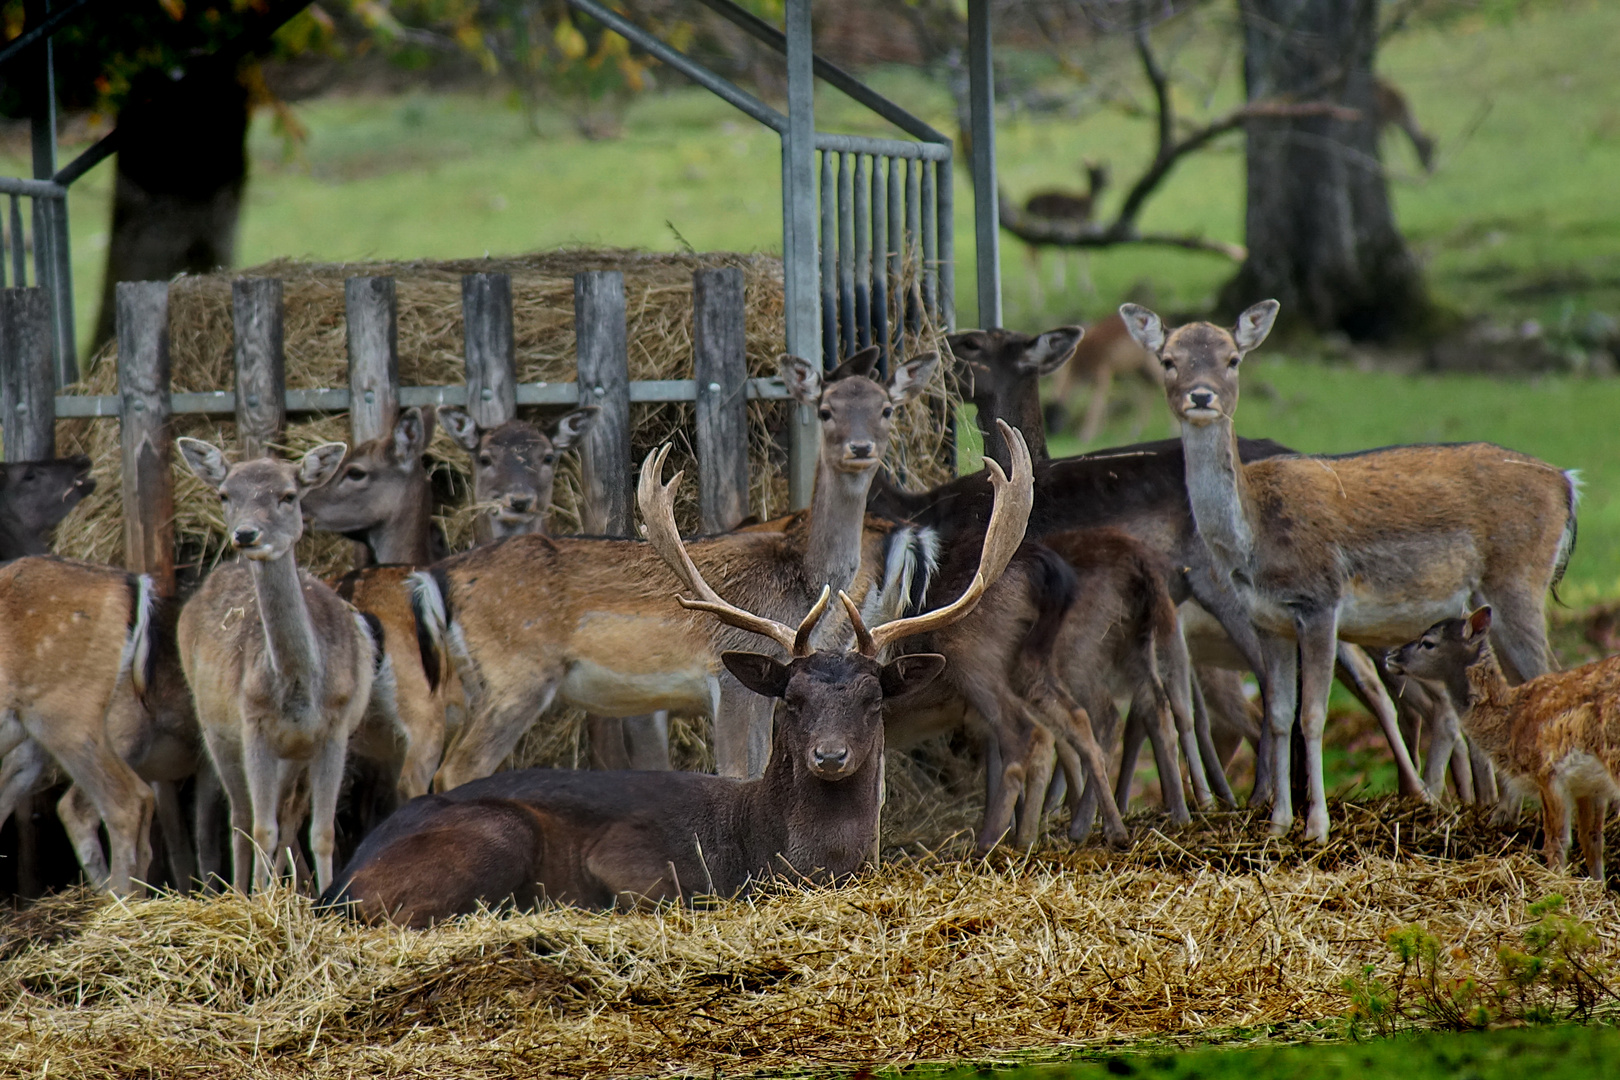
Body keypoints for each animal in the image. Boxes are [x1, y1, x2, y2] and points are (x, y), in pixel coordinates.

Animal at [176, 433, 379, 893]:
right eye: (225, 494)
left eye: (289, 495)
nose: (246, 533)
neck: (301, 691)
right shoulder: (254, 725)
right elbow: (261, 827)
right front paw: (259, 901)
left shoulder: (335, 729)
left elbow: (321, 831)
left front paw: (323, 897)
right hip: (216, 731)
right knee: (241, 818)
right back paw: (240, 891)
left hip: (293, 757)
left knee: (285, 818)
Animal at [414, 346, 946, 786]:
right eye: (825, 410)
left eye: (886, 409)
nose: (861, 448)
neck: (803, 585)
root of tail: (435, 577)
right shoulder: (731, 676)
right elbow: (737, 771)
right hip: (516, 677)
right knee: (456, 768)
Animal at [1134, 297, 1574, 841]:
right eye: (1168, 360)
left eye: (1232, 358)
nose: (1201, 394)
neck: (1253, 539)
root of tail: (1567, 485)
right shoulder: (1267, 620)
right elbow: (1278, 715)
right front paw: (1278, 824)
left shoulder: (1320, 602)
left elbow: (1312, 715)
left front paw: (1316, 827)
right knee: (1524, 690)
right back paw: (1503, 816)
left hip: (1518, 581)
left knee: (1551, 675)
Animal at [1386, 608, 1613, 880]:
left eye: (1428, 642)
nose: (1390, 655)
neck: (1509, 719)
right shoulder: (1590, 786)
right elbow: (1592, 841)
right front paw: (1596, 885)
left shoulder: (1547, 772)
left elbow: (1556, 840)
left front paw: (1554, 882)